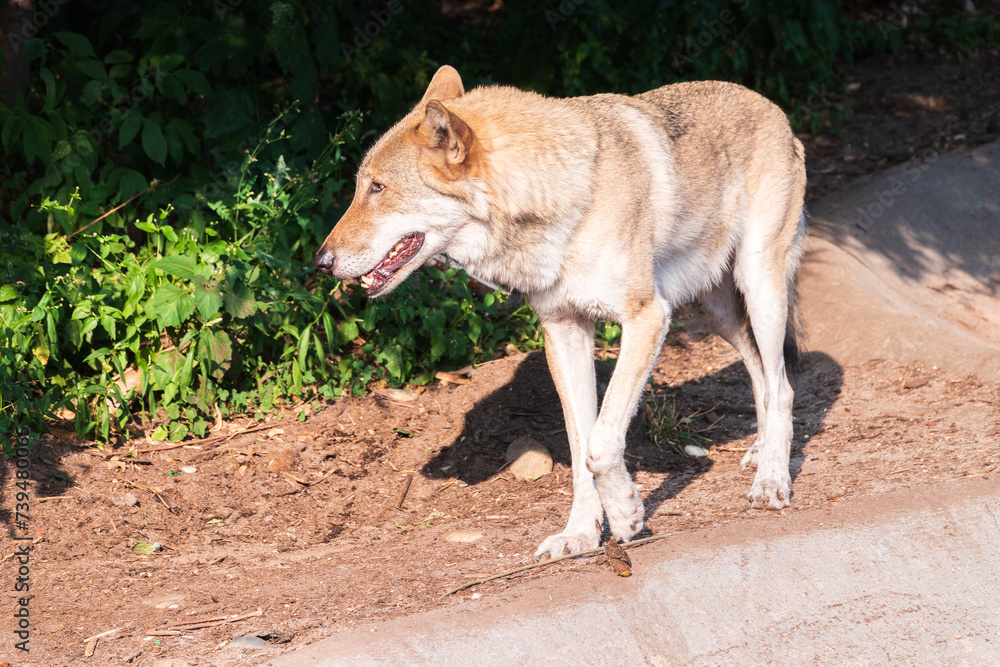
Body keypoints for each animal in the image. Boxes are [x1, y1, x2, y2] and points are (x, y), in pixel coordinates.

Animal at [314, 65, 806, 559]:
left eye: (377, 188)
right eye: (361, 187)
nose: (320, 262)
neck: (561, 198)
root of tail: (772, 107)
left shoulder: (646, 319)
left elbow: (600, 444)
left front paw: (626, 515)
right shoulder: (564, 332)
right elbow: (578, 448)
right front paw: (581, 534)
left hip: (758, 285)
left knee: (782, 386)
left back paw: (771, 480)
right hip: (717, 311)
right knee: (763, 377)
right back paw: (761, 453)